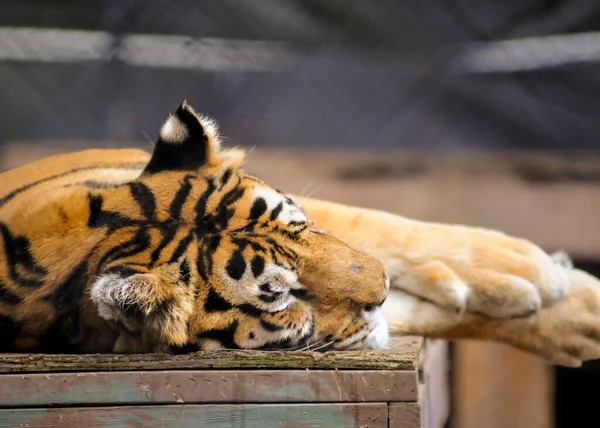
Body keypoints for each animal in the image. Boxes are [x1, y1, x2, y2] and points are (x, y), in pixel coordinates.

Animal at [1, 101, 600, 368]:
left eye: (300, 223)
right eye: (282, 296)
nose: (380, 291)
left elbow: (377, 222)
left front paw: (553, 286)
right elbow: (406, 315)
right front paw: (576, 319)